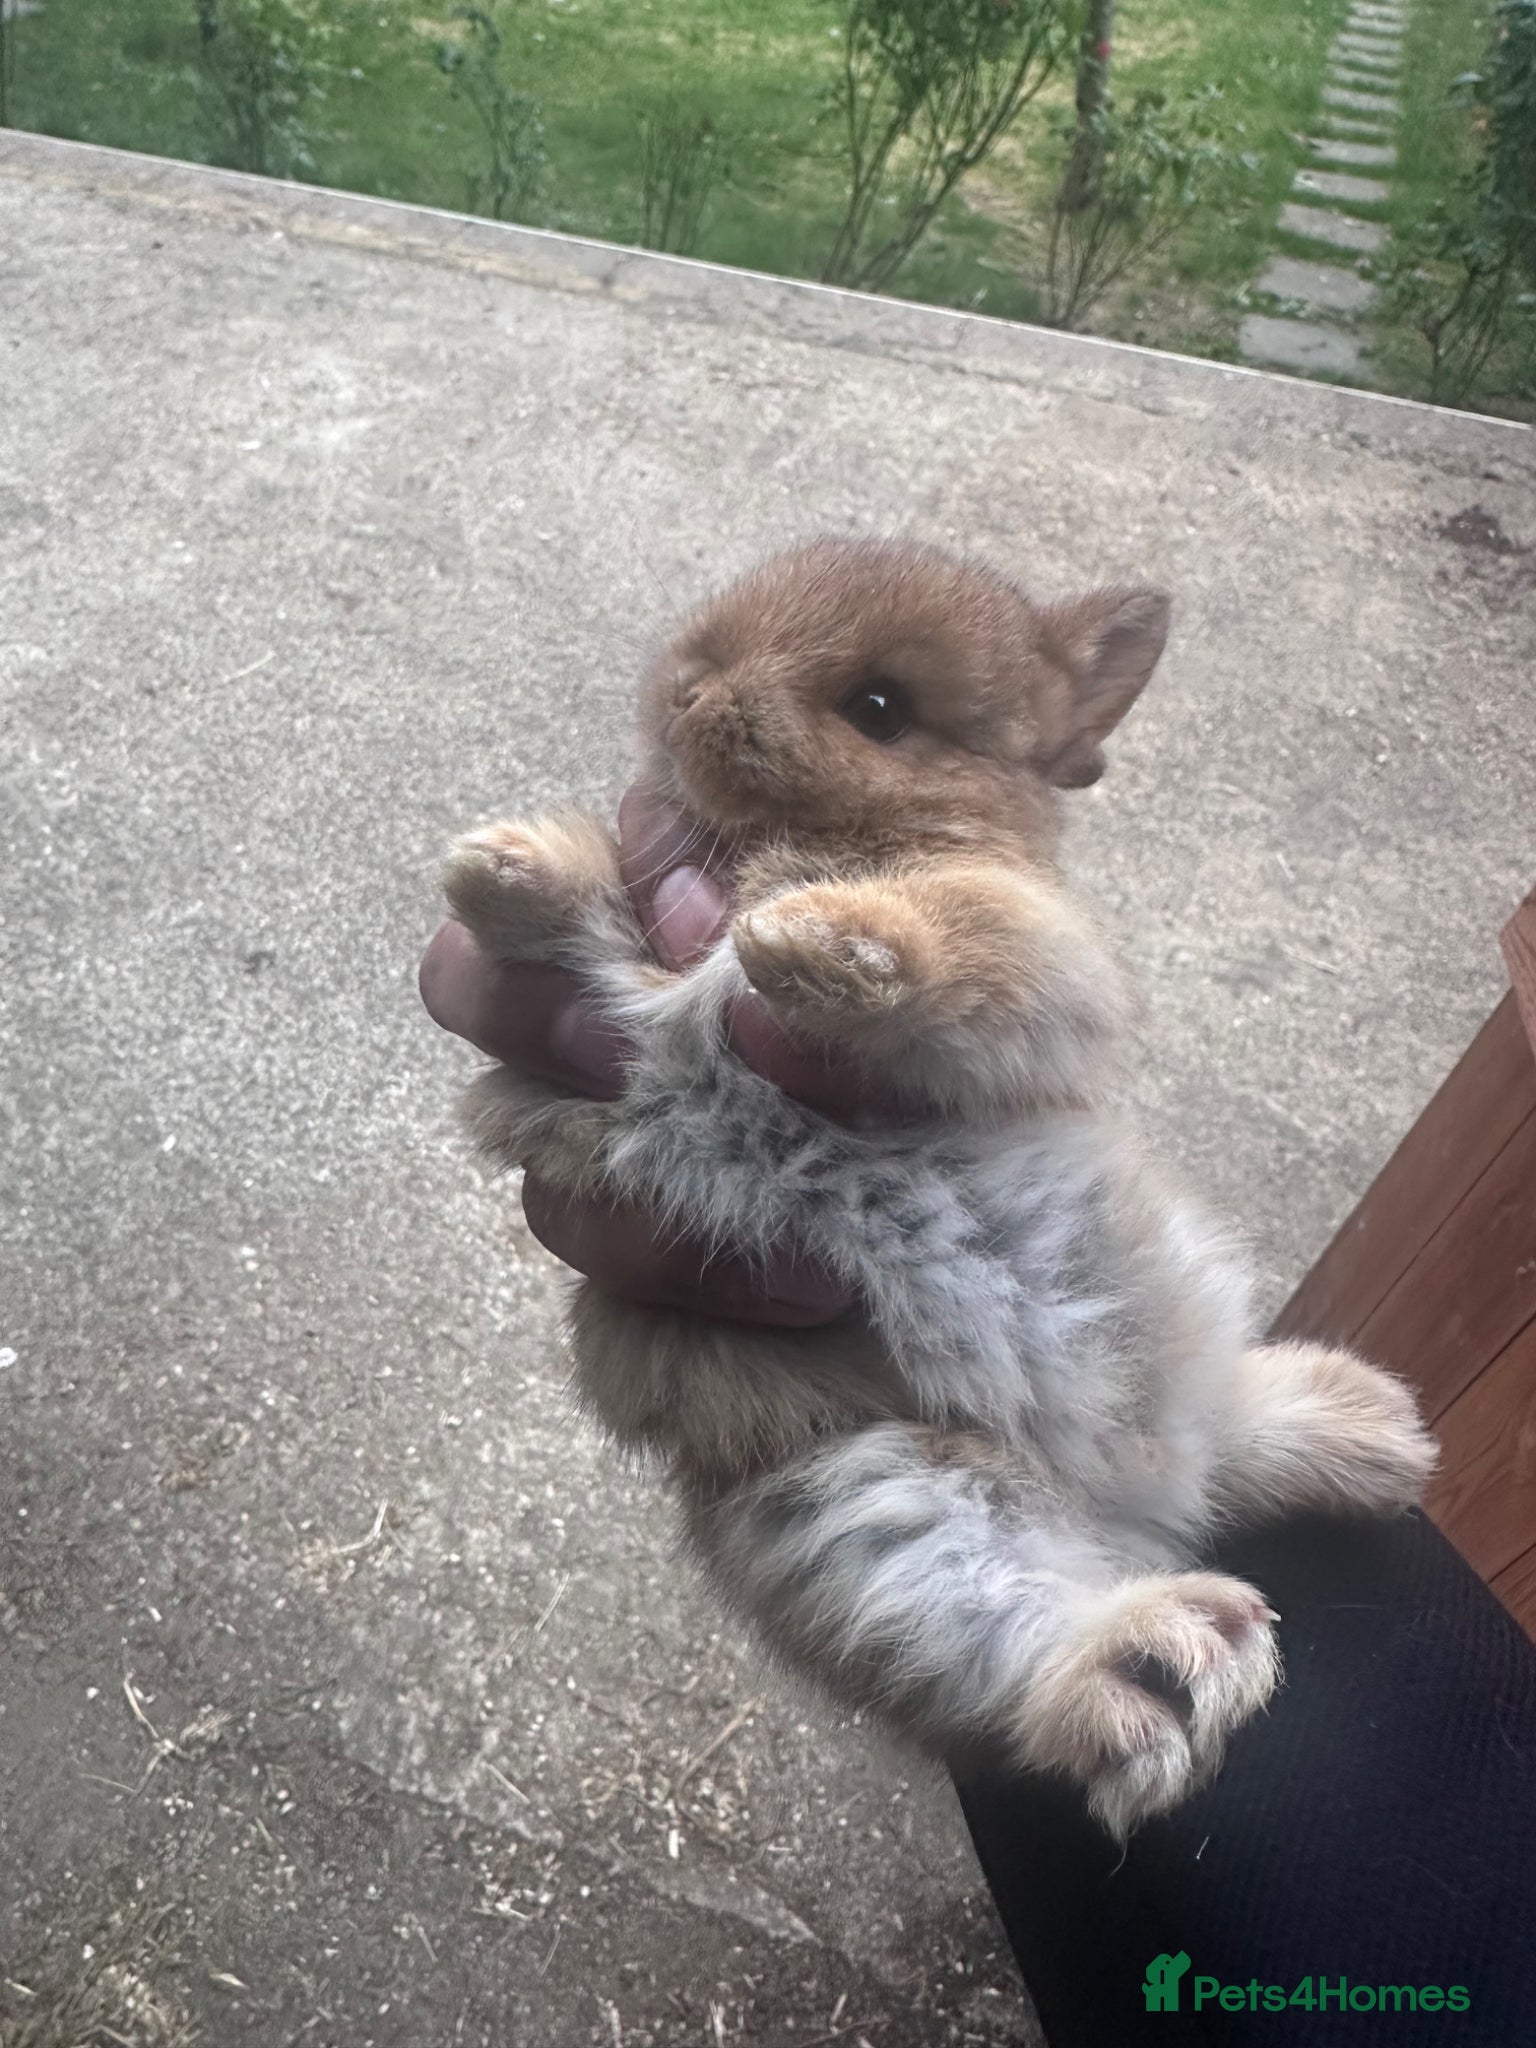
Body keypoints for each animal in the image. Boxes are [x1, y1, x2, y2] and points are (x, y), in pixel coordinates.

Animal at [441, 538, 1436, 1838]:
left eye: (879, 707)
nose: (689, 688)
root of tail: (1135, 1492)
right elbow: (586, 933)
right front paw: (498, 865)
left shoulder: (1023, 948)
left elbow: (953, 936)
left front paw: (807, 941)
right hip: (883, 1516)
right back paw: (1209, 1613)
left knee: (1222, 1452)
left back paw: (1338, 1465)